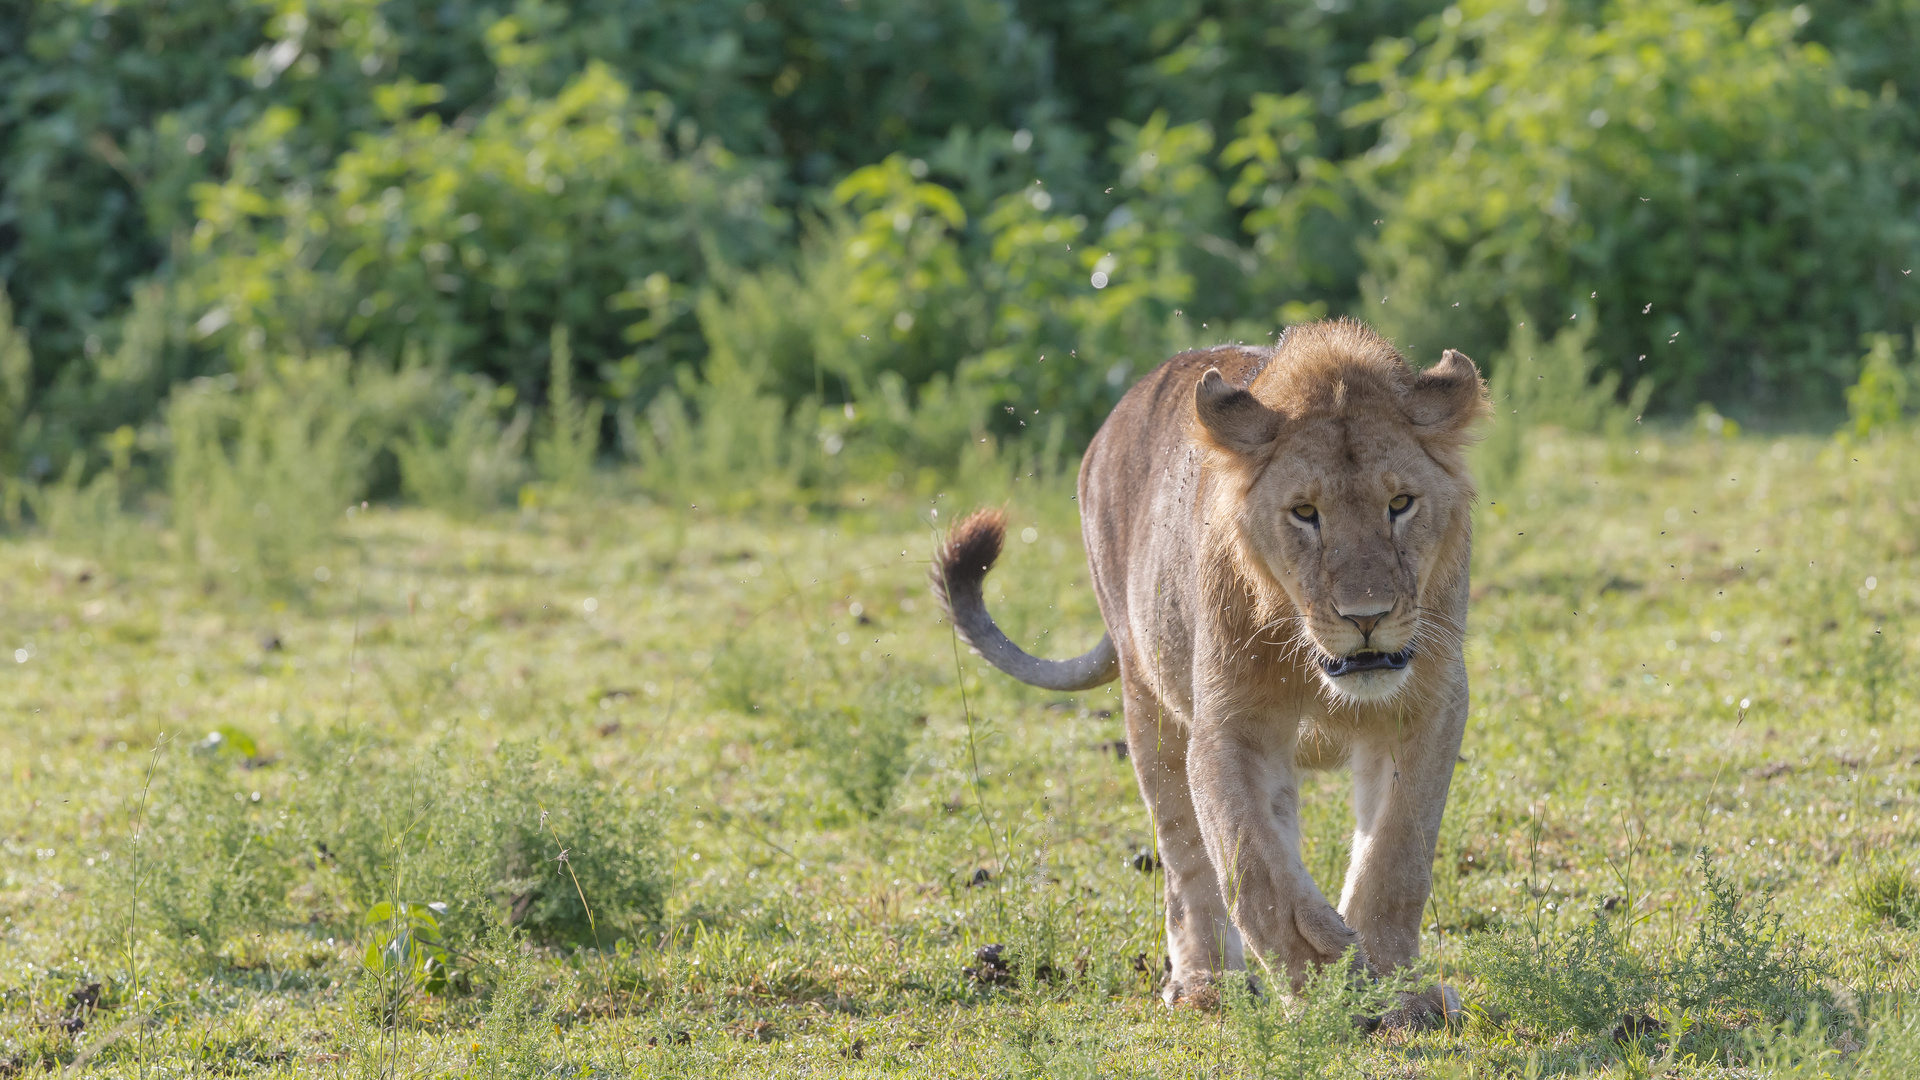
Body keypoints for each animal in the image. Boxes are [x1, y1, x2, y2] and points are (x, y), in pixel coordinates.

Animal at [929, 315, 1482, 1014]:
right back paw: (1206, 983)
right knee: (1186, 855)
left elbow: (1397, 853)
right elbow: (1250, 864)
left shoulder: (1431, 707)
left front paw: (1399, 996)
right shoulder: (1228, 729)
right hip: (1148, 700)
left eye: (1401, 503)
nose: (1367, 617)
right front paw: (1321, 969)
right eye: (1306, 513)